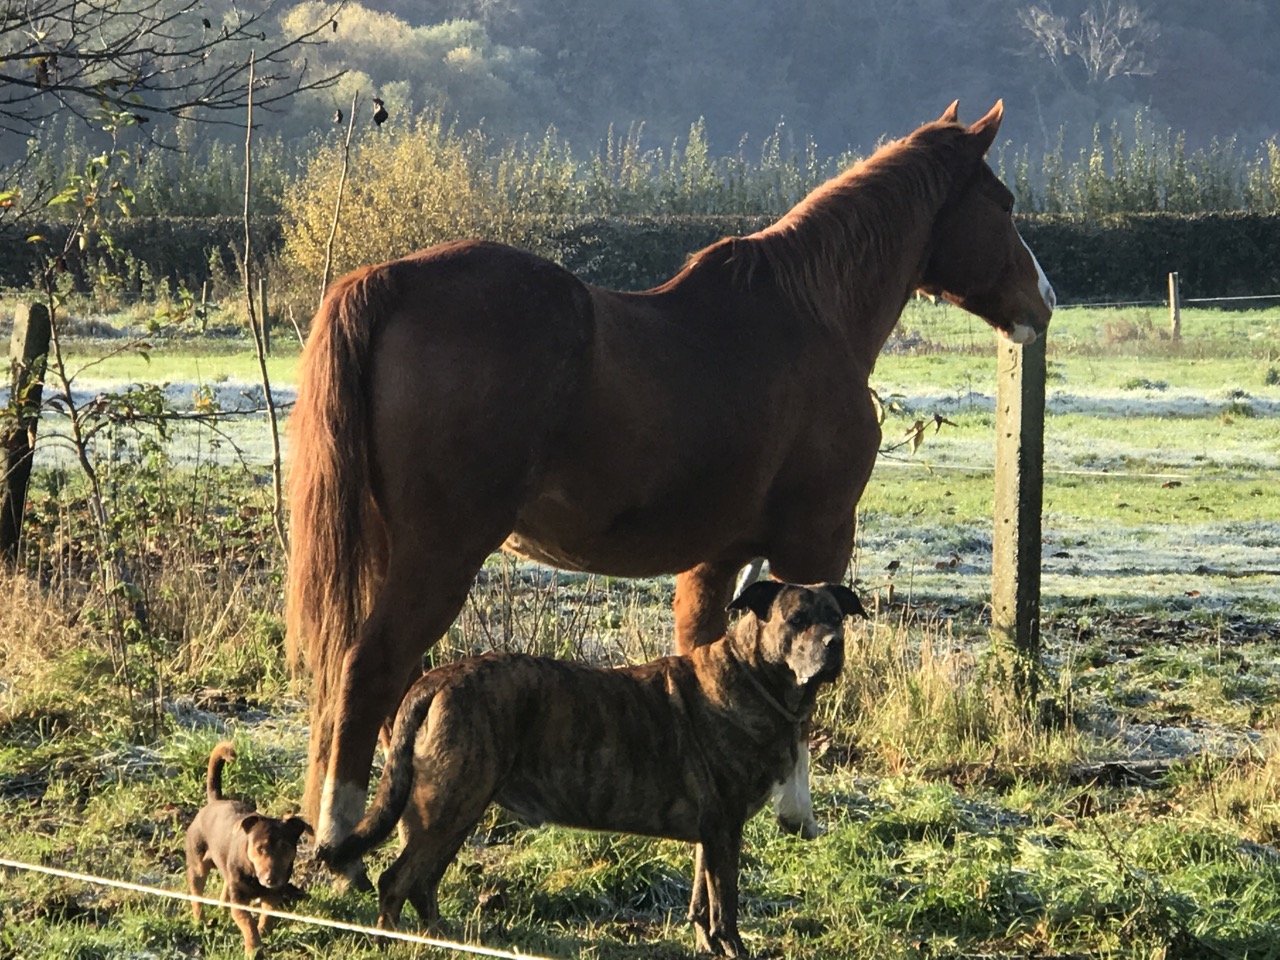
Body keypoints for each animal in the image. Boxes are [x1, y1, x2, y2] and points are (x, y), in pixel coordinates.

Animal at [184, 742, 313, 957]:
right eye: (259, 848)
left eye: (285, 847)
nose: (271, 879)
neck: (254, 873)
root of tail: (215, 801)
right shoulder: (240, 900)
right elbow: (247, 922)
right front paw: (253, 948)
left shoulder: (272, 895)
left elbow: (267, 916)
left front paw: (263, 933)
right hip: (198, 865)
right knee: (197, 896)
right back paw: (199, 921)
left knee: (224, 887)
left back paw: (221, 909)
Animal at [293, 99, 1059, 870]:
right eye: (1002, 203)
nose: (1046, 301)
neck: (810, 313)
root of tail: (389, 280)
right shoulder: (815, 542)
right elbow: (801, 678)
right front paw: (797, 813)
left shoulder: (718, 557)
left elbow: (707, 654)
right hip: (442, 552)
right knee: (370, 667)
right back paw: (343, 837)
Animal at [320, 583, 870, 957]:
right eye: (797, 619)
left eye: (837, 616)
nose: (834, 644)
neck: (758, 678)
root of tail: (437, 678)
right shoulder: (725, 829)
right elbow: (725, 904)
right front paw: (733, 949)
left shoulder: (713, 832)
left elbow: (701, 899)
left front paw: (707, 946)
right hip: (449, 804)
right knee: (397, 880)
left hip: (455, 808)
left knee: (423, 881)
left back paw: (440, 939)